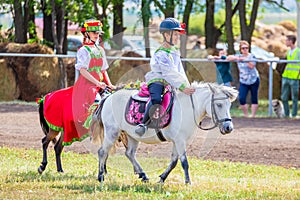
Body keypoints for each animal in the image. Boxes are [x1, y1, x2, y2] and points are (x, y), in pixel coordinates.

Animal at [92, 81, 238, 184]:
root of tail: (108, 98)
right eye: (219, 105)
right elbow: (184, 162)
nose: (228, 127)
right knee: (102, 152)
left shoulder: (178, 141)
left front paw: (162, 178)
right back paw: (100, 177)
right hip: (112, 132)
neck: (187, 108)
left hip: (132, 135)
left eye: (229, 105)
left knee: (129, 153)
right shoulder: (179, 141)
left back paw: (143, 175)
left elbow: (174, 162)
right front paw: (188, 182)